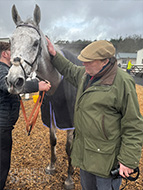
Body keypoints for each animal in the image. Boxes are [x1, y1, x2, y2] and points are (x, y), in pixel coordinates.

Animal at [5, 4, 81, 190]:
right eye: (11, 41)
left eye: (36, 42)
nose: (14, 81)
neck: (57, 80)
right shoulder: (50, 114)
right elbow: (52, 140)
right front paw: (51, 167)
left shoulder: (70, 120)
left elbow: (69, 147)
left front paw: (69, 179)